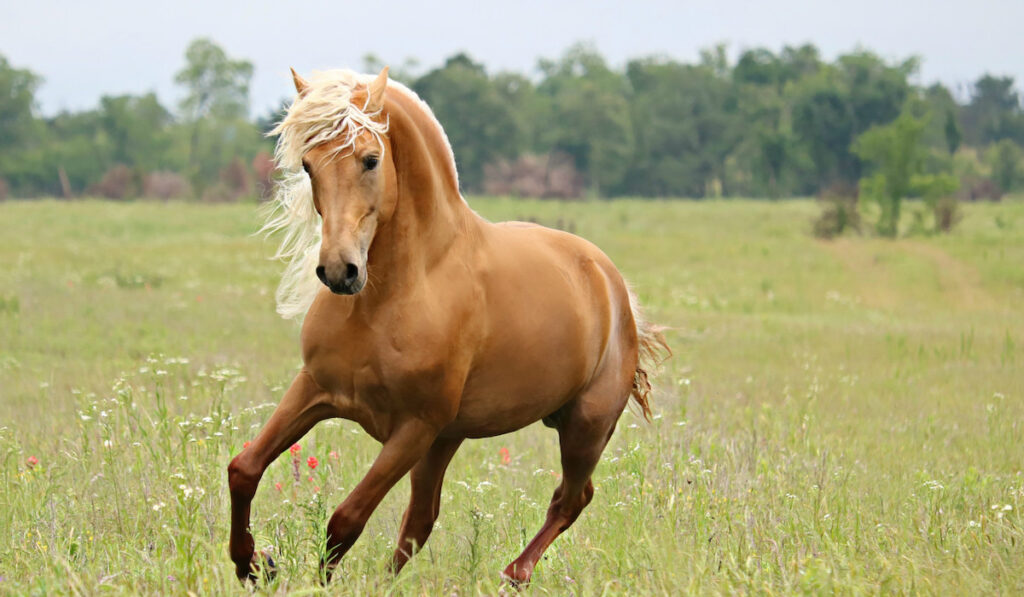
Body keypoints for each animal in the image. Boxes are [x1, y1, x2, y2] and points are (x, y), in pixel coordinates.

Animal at [228, 67, 667, 585]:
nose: (339, 271)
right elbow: (244, 469)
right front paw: (254, 563)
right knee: (422, 520)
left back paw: (513, 575)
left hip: (585, 428)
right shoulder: (316, 390)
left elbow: (346, 519)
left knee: (571, 499)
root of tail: (610, 282)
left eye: (371, 159)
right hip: (449, 440)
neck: (389, 298)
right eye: (308, 164)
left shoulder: (414, 427)